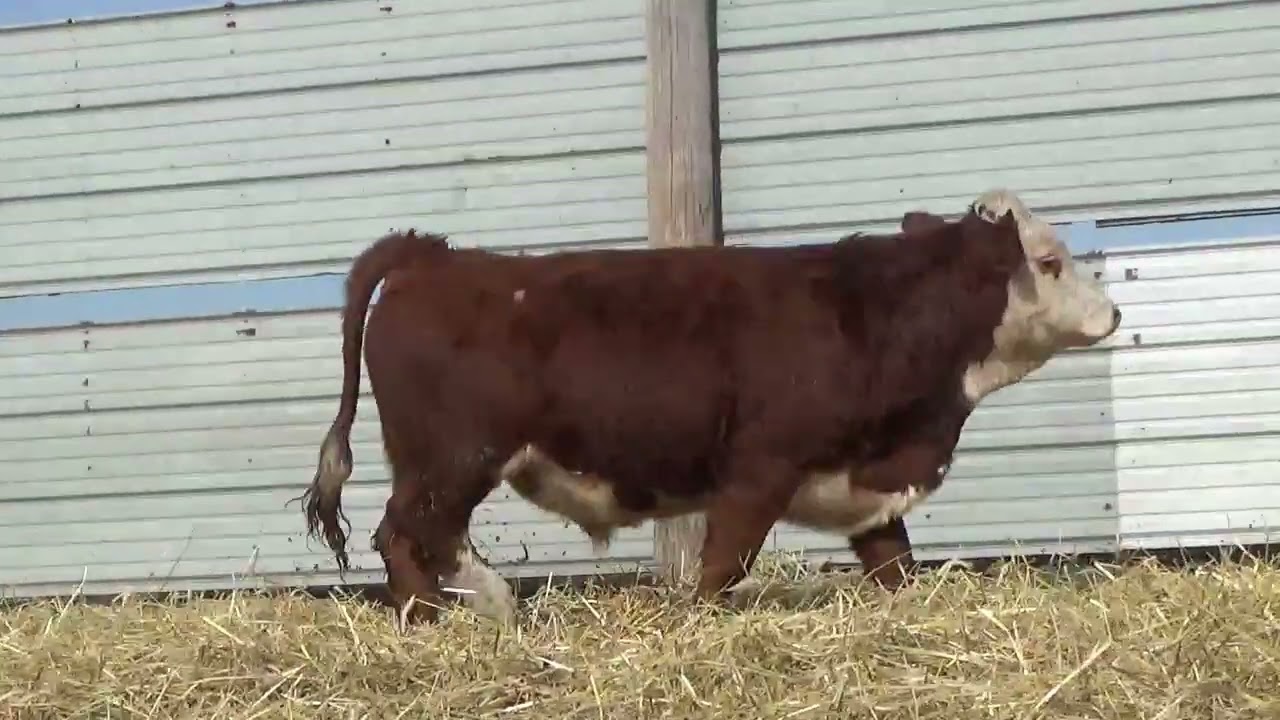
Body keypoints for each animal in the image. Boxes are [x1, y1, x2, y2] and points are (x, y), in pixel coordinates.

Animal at [298, 188, 1121, 627]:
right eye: (1049, 262)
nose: (1113, 313)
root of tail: (433, 256)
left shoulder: (868, 491)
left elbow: (895, 568)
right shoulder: (759, 470)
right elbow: (723, 565)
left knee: (410, 538)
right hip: (456, 459)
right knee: (411, 534)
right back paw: (477, 607)